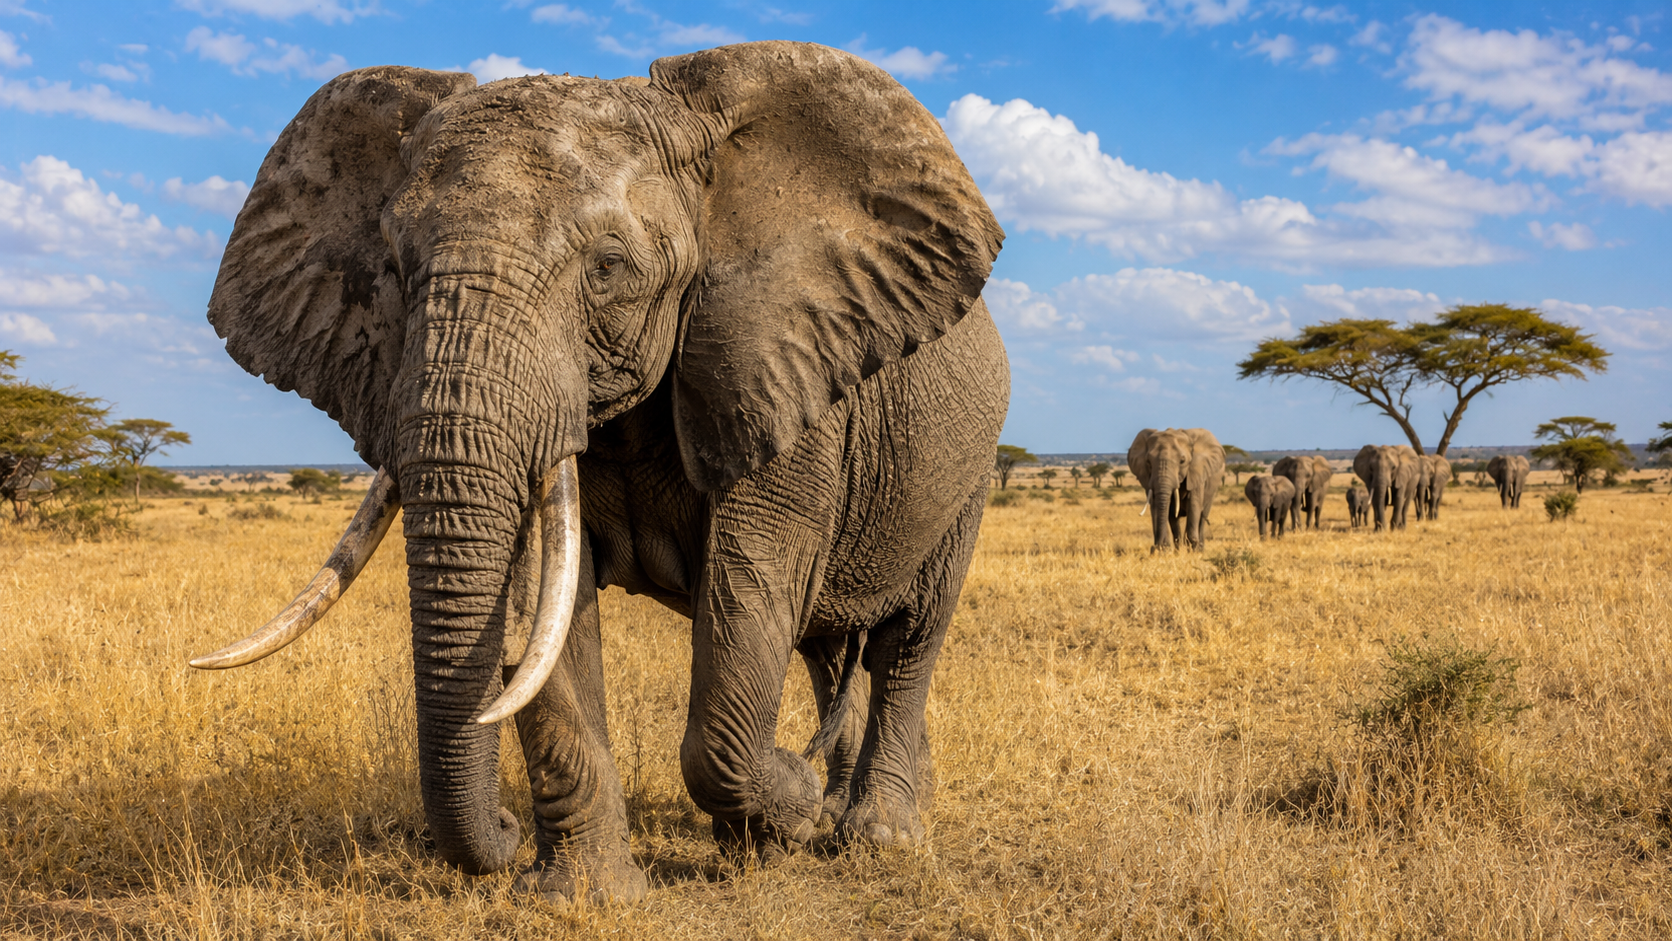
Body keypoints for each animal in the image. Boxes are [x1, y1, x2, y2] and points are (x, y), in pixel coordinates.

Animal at [187, 43, 1009, 902]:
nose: (504, 829)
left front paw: (791, 804)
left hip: (970, 468)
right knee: (828, 650)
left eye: (609, 267)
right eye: (397, 270)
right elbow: (550, 616)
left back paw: (875, 834)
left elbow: (748, 593)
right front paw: (585, 895)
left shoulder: (778, 367)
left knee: (907, 640)